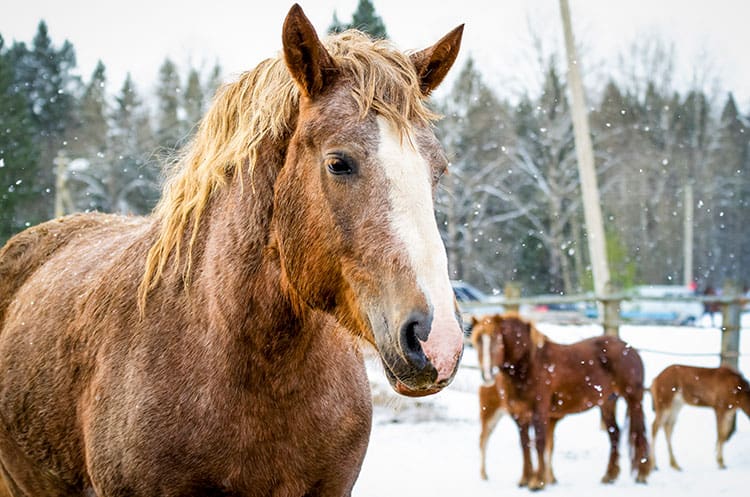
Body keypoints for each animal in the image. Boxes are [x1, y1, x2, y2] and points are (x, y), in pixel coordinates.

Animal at [472, 314, 648, 488]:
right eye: (477, 341)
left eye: (497, 339)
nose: (487, 375)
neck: (529, 363)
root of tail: (631, 349)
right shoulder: (519, 414)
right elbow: (525, 444)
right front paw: (525, 479)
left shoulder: (540, 411)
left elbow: (540, 442)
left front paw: (537, 482)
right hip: (607, 403)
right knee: (614, 434)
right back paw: (609, 476)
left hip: (633, 399)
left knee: (638, 433)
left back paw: (641, 475)